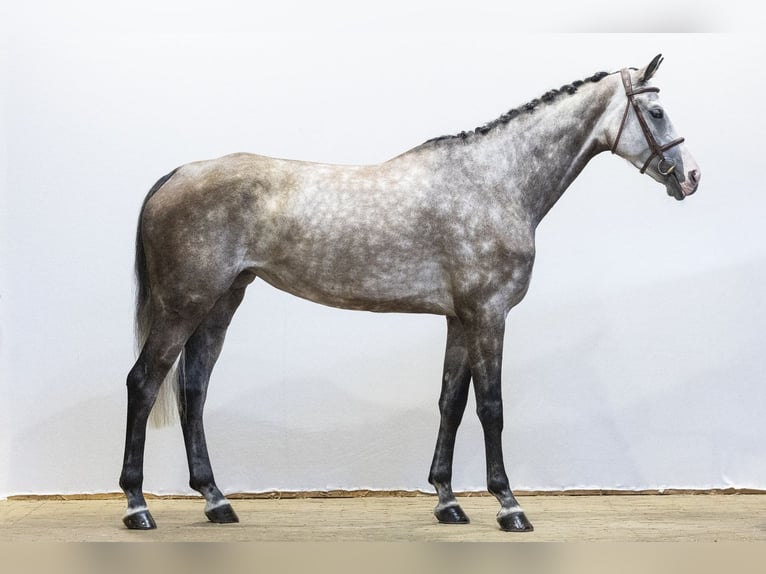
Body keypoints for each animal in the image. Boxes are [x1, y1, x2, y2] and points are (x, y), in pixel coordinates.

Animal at [119, 54, 700, 532]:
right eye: (658, 112)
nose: (691, 176)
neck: (496, 182)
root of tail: (177, 175)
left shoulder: (460, 318)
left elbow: (451, 402)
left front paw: (447, 501)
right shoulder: (488, 314)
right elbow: (491, 406)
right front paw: (509, 506)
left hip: (221, 303)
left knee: (194, 388)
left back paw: (216, 501)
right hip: (184, 305)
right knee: (144, 383)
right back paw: (137, 506)